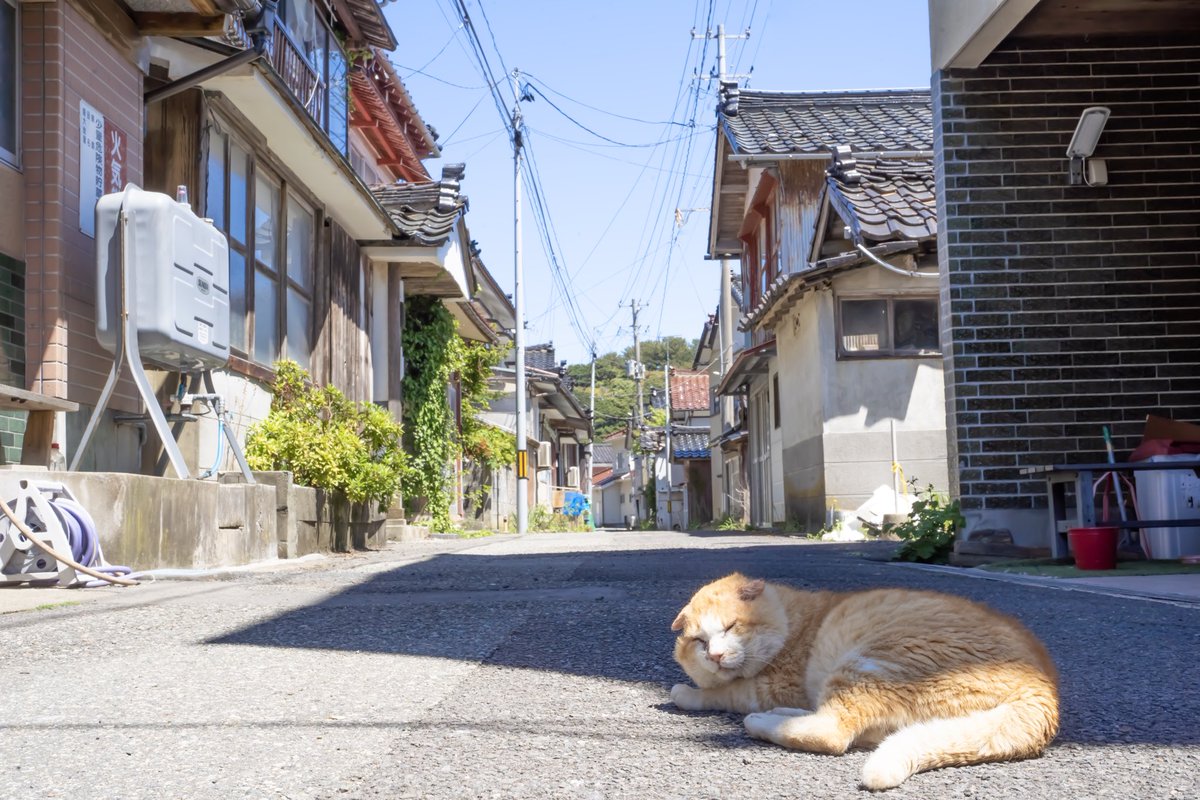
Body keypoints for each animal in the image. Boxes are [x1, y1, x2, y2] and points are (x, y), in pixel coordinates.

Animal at [672, 573, 1056, 791]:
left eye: (730, 627)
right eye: (700, 642)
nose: (715, 656)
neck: (795, 620)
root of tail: (1043, 690)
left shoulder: (772, 685)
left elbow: (723, 692)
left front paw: (687, 693)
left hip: (869, 663)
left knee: (832, 732)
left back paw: (762, 722)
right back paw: (782, 715)